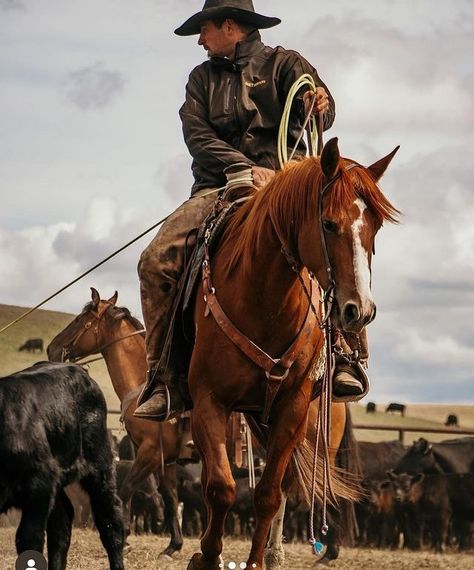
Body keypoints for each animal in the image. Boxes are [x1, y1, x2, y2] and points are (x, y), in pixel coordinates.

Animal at [46, 288, 187, 556]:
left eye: (80, 319)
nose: (52, 348)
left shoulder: (150, 452)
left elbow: (125, 490)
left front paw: (123, 534)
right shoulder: (165, 458)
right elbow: (170, 496)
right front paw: (173, 546)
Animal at [186, 139, 400, 568]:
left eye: (374, 228)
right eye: (329, 224)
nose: (360, 310)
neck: (262, 301)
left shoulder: (292, 408)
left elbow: (268, 494)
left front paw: (254, 561)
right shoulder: (208, 402)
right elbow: (219, 487)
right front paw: (207, 555)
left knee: (285, 485)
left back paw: (274, 553)